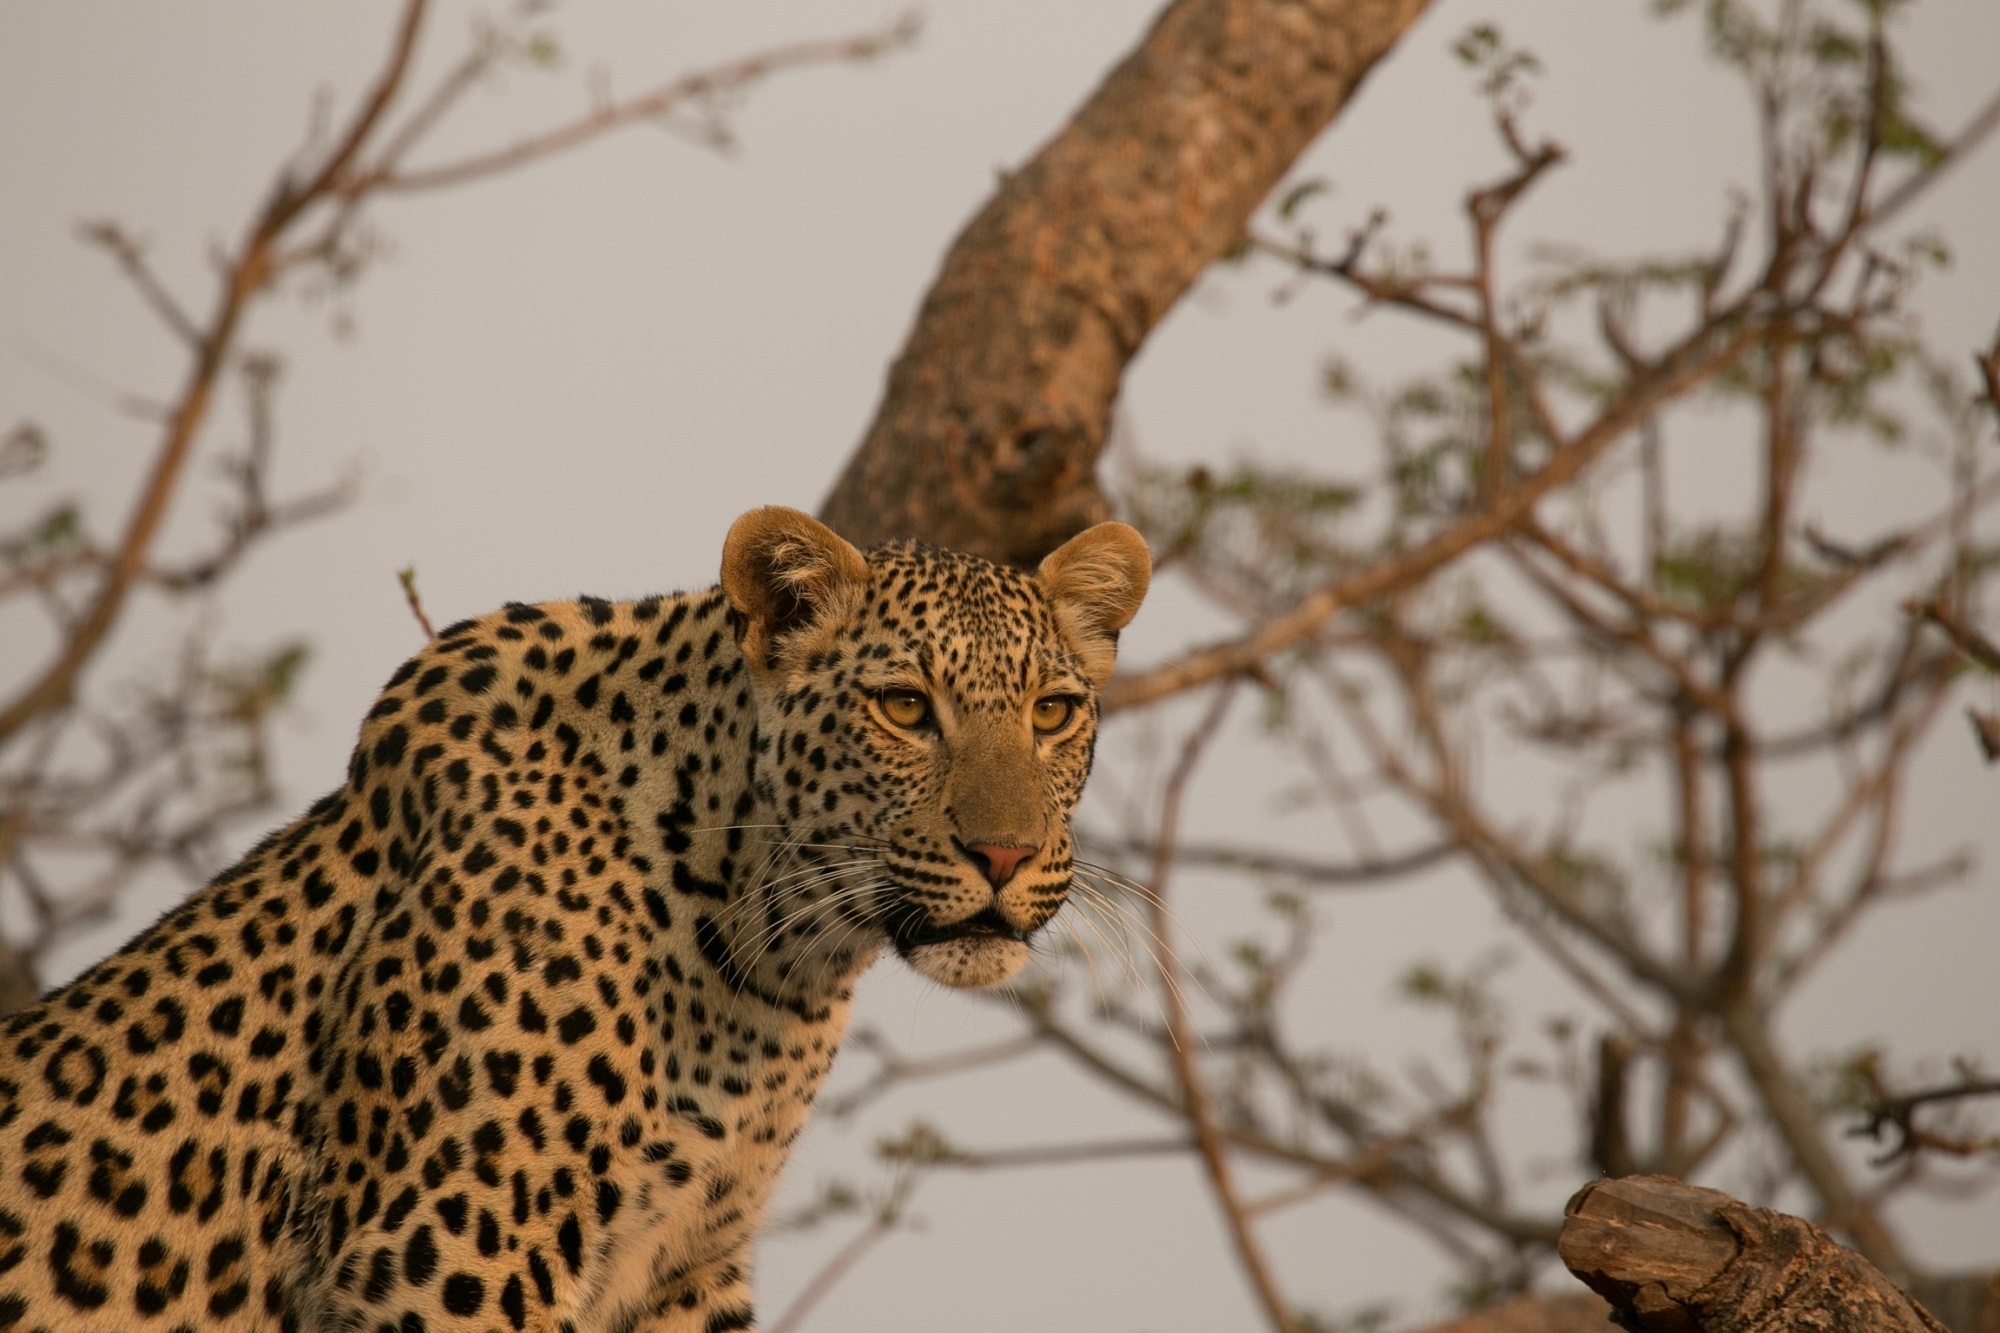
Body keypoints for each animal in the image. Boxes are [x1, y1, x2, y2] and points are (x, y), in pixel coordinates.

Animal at [0, 506, 1152, 1328]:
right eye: (905, 707)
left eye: (1052, 711)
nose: (1002, 855)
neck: (770, 957)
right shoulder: (449, 1246)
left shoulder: (688, 1266)